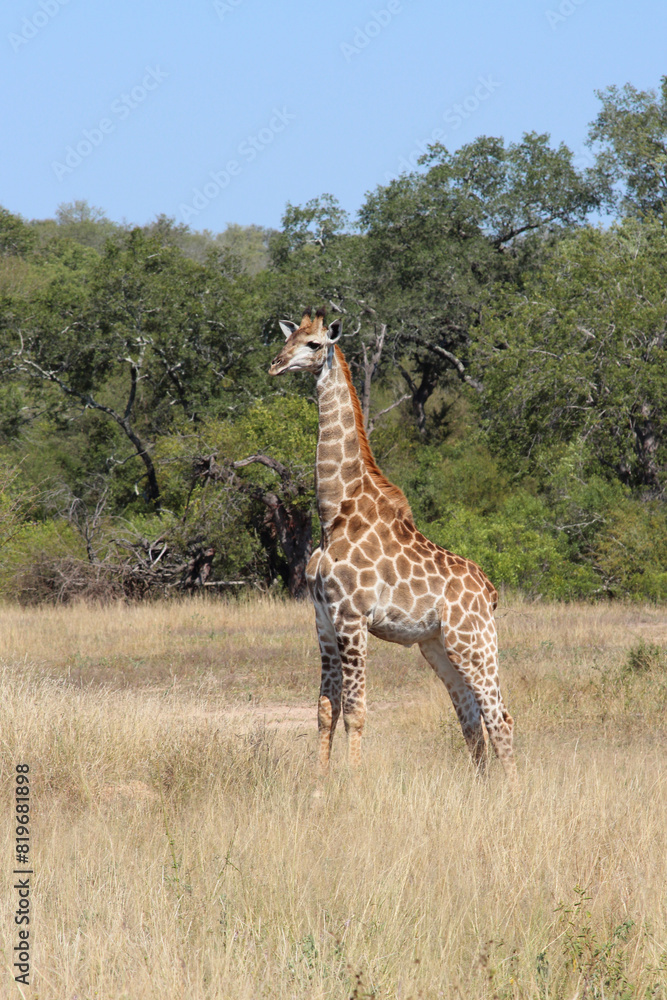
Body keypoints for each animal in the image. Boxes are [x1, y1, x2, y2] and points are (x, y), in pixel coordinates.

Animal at [269, 307, 516, 783]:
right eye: (289, 340)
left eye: (314, 344)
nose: (275, 365)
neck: (334, 511)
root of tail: (490, 592)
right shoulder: (323, 620)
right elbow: (325, 710)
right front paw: (319, 785)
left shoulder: (352, 618)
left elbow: (356, 711)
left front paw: (351, 784)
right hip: (437, 646)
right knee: (470, 715)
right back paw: (483, 789)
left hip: (474, 642)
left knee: (500, 715)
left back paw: (514, 792)